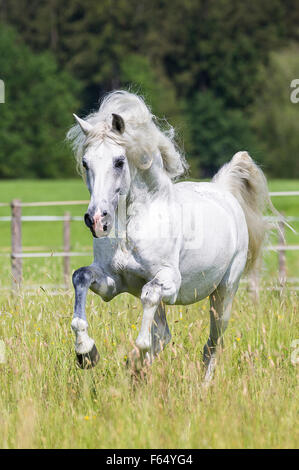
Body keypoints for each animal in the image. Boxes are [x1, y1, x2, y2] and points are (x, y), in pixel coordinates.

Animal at [67, 91, 274, 382]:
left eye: (119, 161)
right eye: (86, 163)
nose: (97, 219)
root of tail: (223, 191)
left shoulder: (169, 281)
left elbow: (148, 309)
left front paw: (136, 358)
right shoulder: (112, 282)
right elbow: (81, 277)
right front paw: (86, 353)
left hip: (224, 292)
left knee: (213, 343)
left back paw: (203, 385)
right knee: (165, 334)